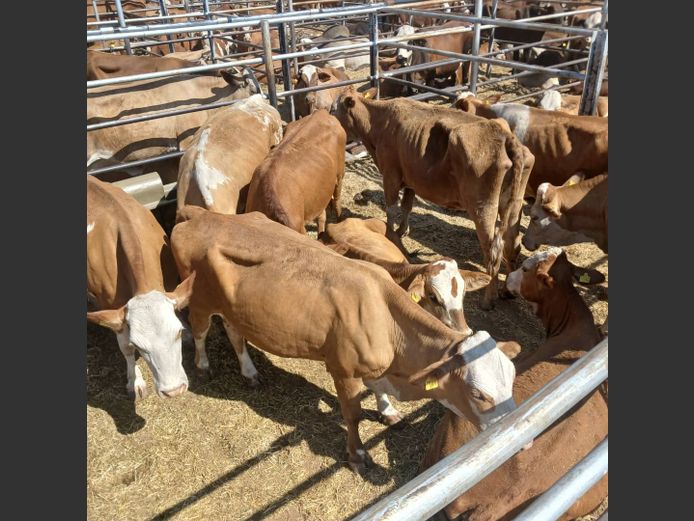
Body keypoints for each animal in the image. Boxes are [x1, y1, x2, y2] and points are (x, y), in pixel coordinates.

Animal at [87, 176, 195, 399]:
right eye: (138, 345)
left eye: (178, 333)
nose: (174, 391)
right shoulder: (114, 309)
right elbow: (125, 348)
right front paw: (134, 381)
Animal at [171, 207, 521, 472]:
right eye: (478, 394)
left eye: (511, 381)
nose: (513, 430)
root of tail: (203, 214)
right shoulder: (344, 371)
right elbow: (352, 415)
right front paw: (358, 455)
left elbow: (378, 391)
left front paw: (388, 412)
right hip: (199, 297)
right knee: (200, 330)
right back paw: (203, 366)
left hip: (234, 307)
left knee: (234, 331)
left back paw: (249, 372)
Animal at [332, 90, 535, 310]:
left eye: (333, 108)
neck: (378, 120)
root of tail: (505, 135)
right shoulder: (410, 177)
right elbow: (407, 205)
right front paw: (402, 231)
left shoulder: (390, 174)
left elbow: (391, 208)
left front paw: (392, 234)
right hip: (514, 204)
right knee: (512, 244)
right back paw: (506, 289)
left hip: (483, 208)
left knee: (493, 250)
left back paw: (488, 298)